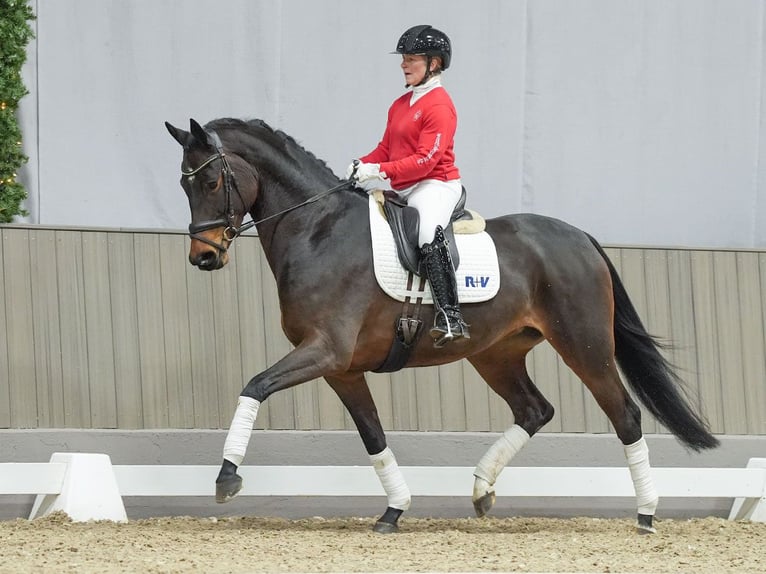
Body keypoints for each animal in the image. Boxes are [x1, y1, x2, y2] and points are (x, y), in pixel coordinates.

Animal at [165, 116, 724, 536]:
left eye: (211, 181)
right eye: (183, 183)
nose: (204, 257)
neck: (318, 229)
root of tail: (579, 236)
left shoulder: (325, 350)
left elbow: (254, 385)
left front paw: (226, 477)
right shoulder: (341, 368)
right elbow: (373, 435)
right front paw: (394, 511)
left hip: (584, 346)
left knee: (624, 416)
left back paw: (646, 515)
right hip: (495, 353)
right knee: (534, 409)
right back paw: (481, 489)